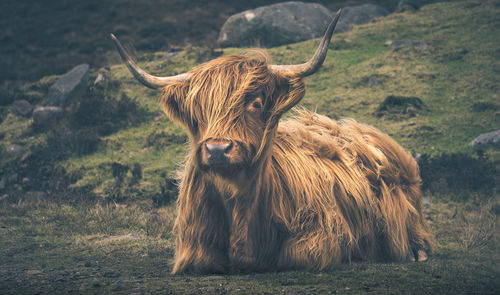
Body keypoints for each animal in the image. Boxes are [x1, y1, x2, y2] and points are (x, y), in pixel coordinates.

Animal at [111, 9, 432, 276]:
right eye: (198, 110)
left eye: (255, 102)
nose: (217, 150)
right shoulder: (193, 249)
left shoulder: (320, 234)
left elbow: (296, 255)